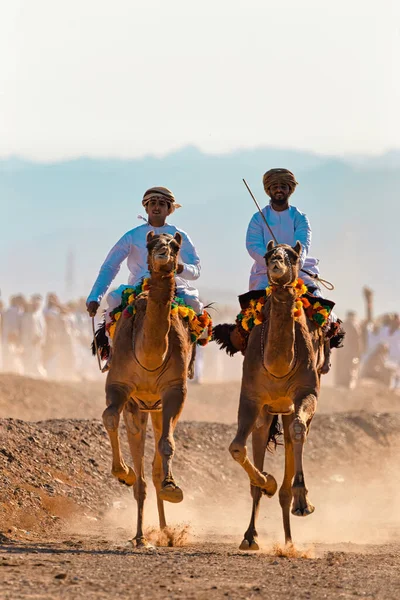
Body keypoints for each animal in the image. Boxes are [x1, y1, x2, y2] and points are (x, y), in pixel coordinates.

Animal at [101, 231, 193, 548]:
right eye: (151, 244)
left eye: (175, 245)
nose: (163, 251)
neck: (151, 354)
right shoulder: (119, 386)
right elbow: (109, 416)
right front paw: (122, 472)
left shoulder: (175, 392)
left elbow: (167, 444)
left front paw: (172, 487)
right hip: (138, 407)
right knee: (141, 473)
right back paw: (140, 535)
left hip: (155, 407)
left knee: (153, 467)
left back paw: (164, 531)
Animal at [228, 241, 324, 552]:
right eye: (269, 255)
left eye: (292, 255)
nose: (277, 263)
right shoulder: (251, 398)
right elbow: (237, 447)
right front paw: (266, 481)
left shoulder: (307, 392)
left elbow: (298, 430)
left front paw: (304, 501)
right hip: (268, 413)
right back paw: (251, 536)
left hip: (288, 407)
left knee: (296, 434)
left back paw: (290, 537)